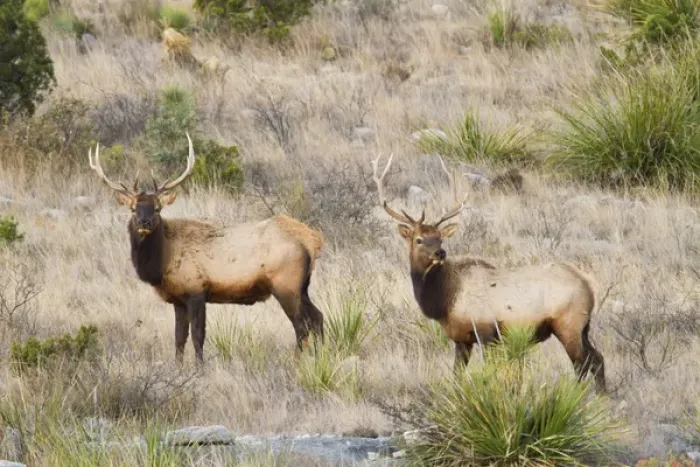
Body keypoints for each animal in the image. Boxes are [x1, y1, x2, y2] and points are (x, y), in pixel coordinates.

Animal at [88, 133, 325, 364]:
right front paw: (178, 368)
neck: (162, 261)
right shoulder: (179, 298)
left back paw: (297, 362)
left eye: (157, 208)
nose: (144, 222)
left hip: (286, 284)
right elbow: (179, 338)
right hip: (302, 286)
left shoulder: (196, 291)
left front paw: (200, 368)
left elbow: (197, 335)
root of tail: (312, 240)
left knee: (301, 326)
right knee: (318, 318)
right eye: (133, 208)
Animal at [371, 153, 606, 393]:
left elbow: (490, 373)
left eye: (440, 237)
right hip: (583, 328)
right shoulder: (462, 339)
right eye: (419, 239)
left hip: (568, 324)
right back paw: (602, 396)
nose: (440, 252)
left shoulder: (486, 332)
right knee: (598, 359)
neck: (445, 299)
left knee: (581, 363)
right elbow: (457, 375)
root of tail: (589, 286)